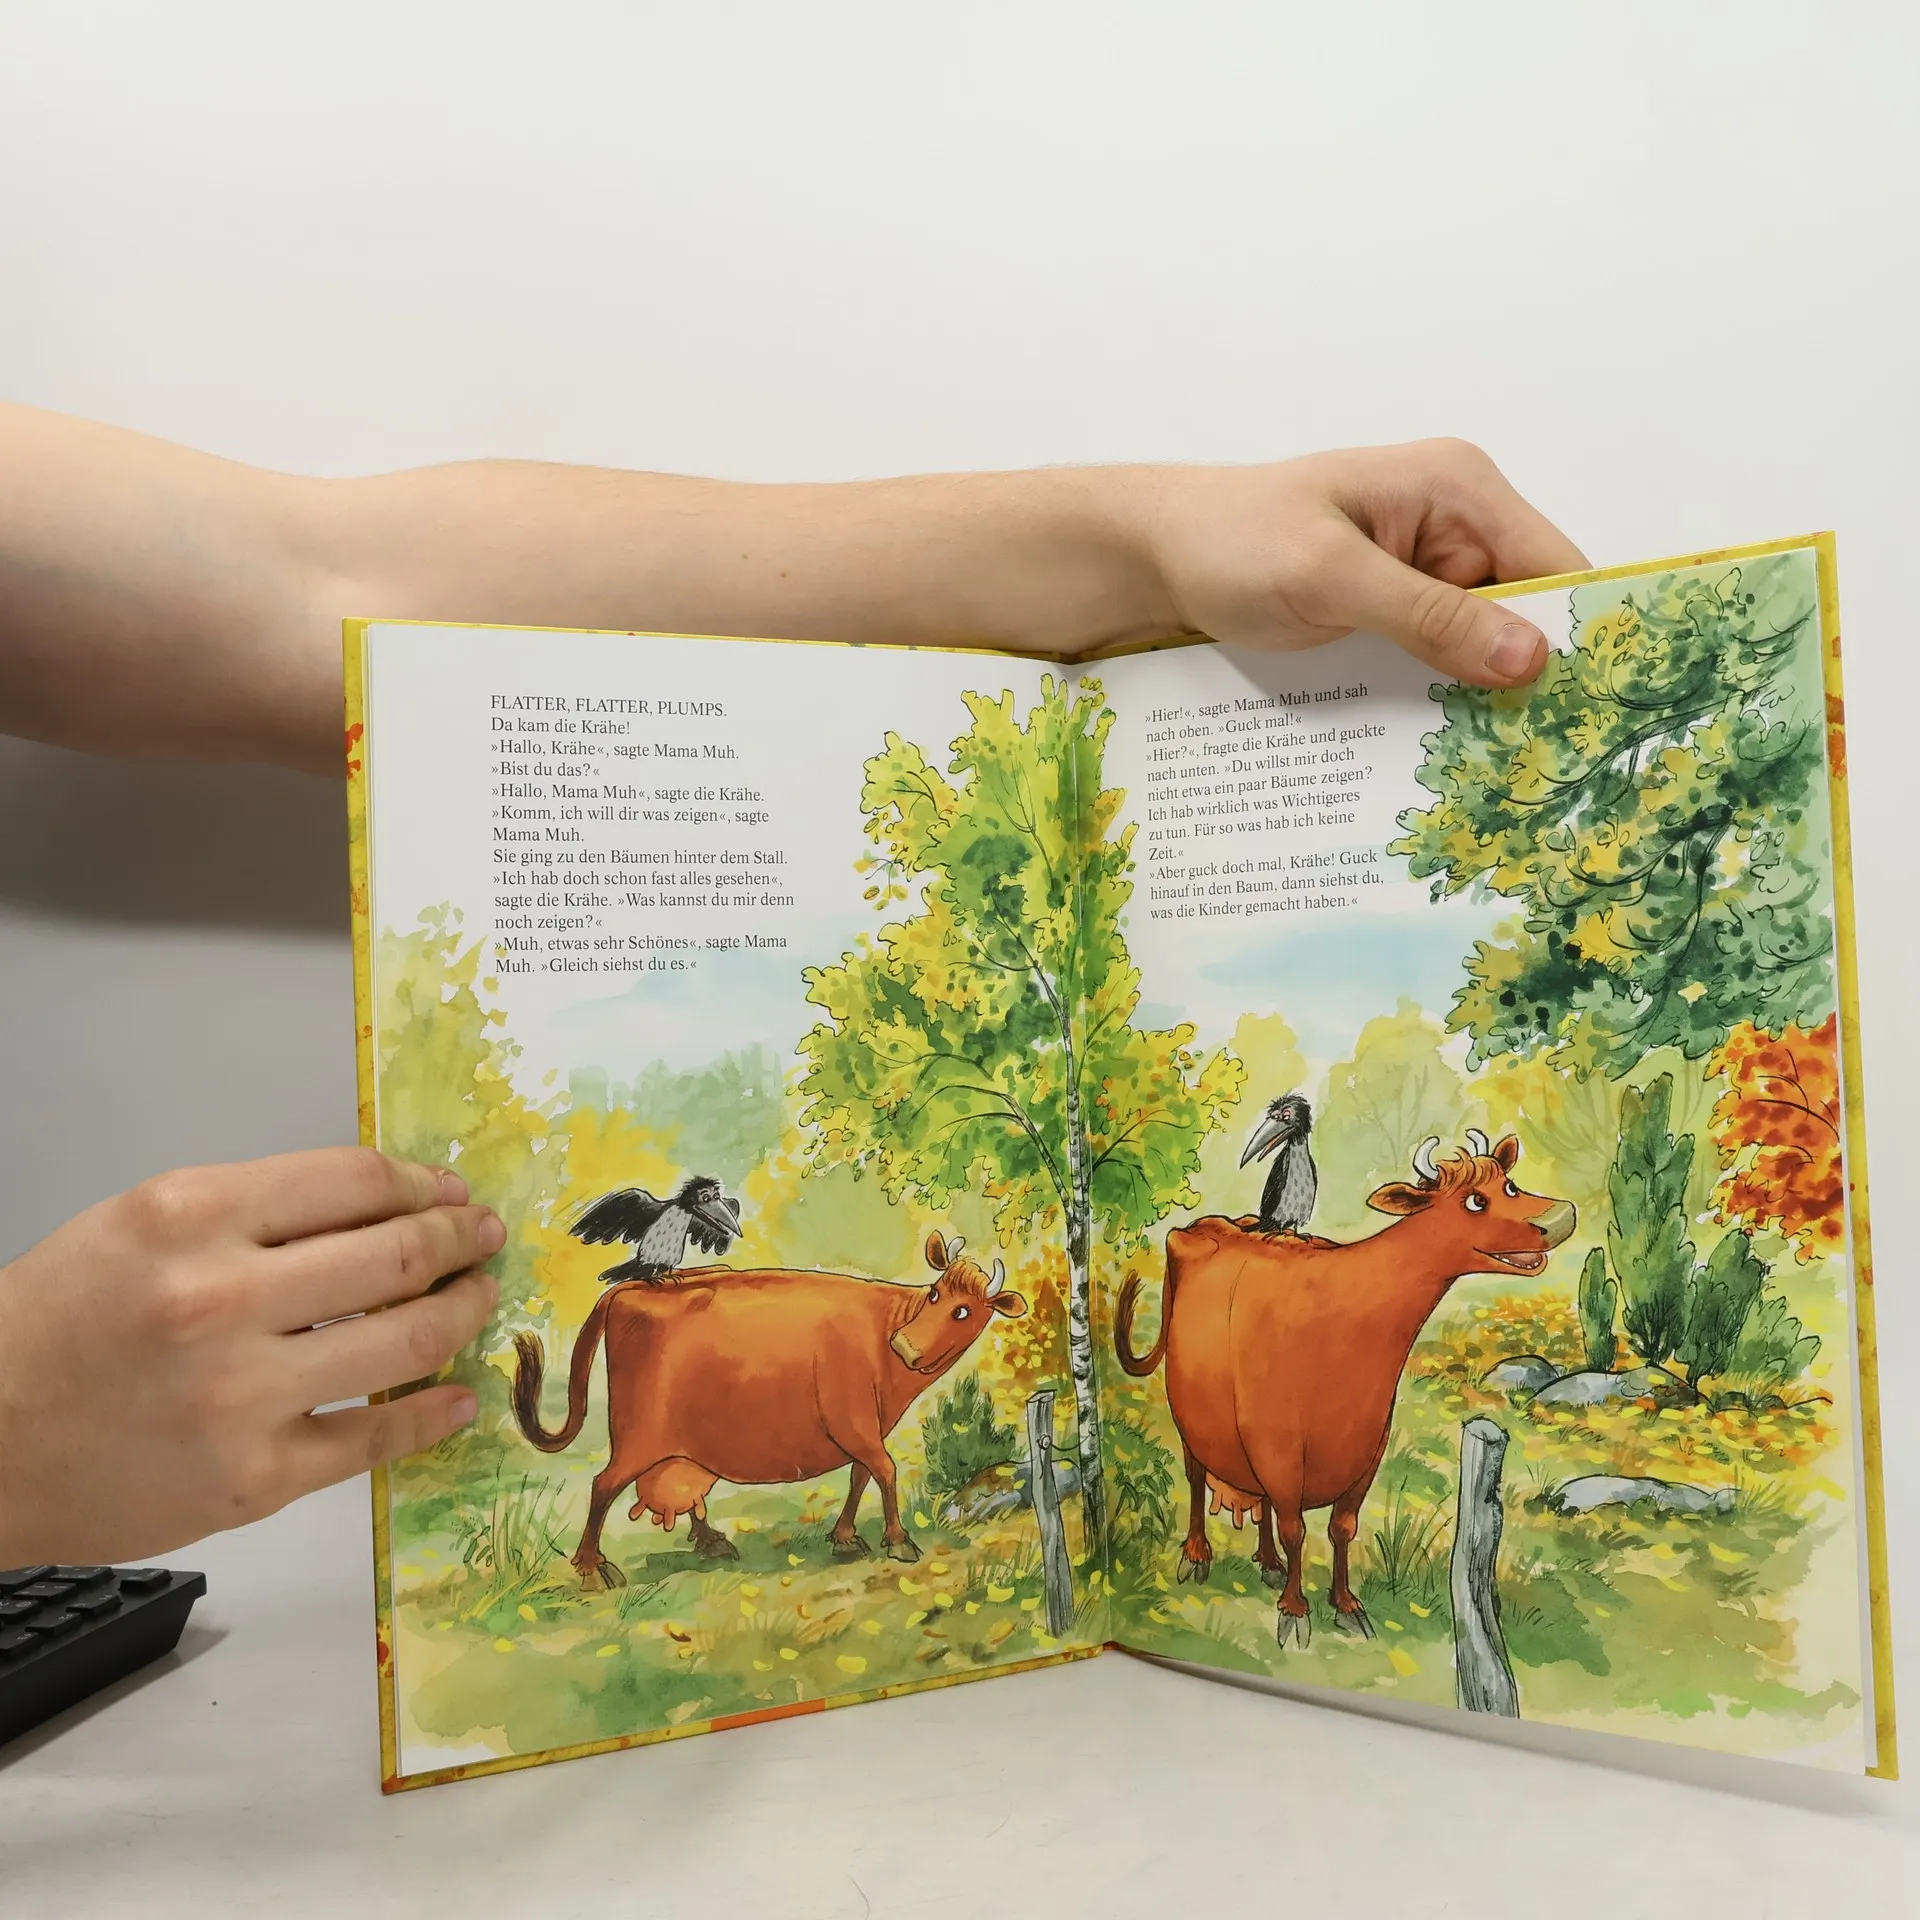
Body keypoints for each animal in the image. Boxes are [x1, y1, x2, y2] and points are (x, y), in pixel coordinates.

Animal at [511, 1231, 1027, 1588]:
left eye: (964, 1310)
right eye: (937, 1294)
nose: (905, 1345)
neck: (884, 1325)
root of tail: (631, 1290)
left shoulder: (866, 1424)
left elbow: (862, 1474)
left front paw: (844, 1537)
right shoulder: (852, 1418)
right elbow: (884, 1470)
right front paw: (898, 1541)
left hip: (680, 1446)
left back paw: (711, 1542)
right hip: (638, 1438)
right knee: (603, 1485)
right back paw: (592, 1568)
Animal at [1114, 1131, 1573, 1646]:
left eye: (1509, 1185)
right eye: (1475, 1200)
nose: (1558, 1217)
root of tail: (1204, 1226)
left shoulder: (1367, 1451)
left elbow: (1341, 1527)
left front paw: (1346, 1604)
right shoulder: (1277, 1446)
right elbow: (1296, 1529)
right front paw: (1295, 1610)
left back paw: (1268, 1562)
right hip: (1191, 1418)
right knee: (1196, 1479)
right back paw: (1196, 1554)